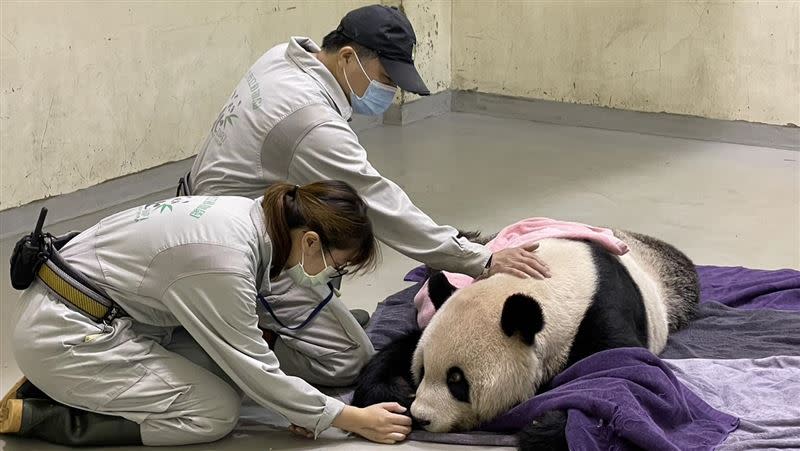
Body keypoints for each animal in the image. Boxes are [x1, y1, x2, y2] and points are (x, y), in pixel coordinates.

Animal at [354, 231, 696, 450]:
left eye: (457, 381)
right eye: (423, 370)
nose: (422, 417)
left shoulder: (601, 312)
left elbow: (625, 376)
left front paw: (545, 425)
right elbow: (403, 345)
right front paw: (394, 392)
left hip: (676, 289)